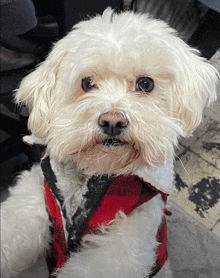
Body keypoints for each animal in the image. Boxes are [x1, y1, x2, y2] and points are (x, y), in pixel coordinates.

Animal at [1, 8, 218, 278]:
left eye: (145, 83)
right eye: (87, 83)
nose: (113, 121)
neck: (99, 172)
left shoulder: (123, 244)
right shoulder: (39, 198)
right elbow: (14, 230)